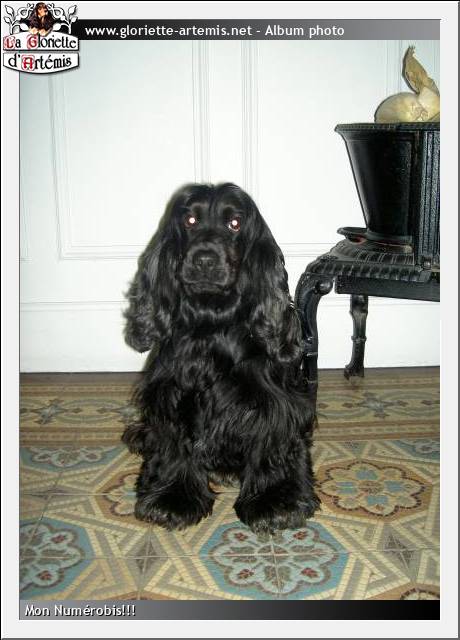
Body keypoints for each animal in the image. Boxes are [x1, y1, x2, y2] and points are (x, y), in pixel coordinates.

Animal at [122, 183, 320, 532]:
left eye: (235, 223)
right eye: (189, 219)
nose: (204, 259)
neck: (211, 324)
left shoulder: (274, 403)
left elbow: (271, 441)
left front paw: (274, 501)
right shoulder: (171, 395)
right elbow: (174, 446)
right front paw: (173, 497)